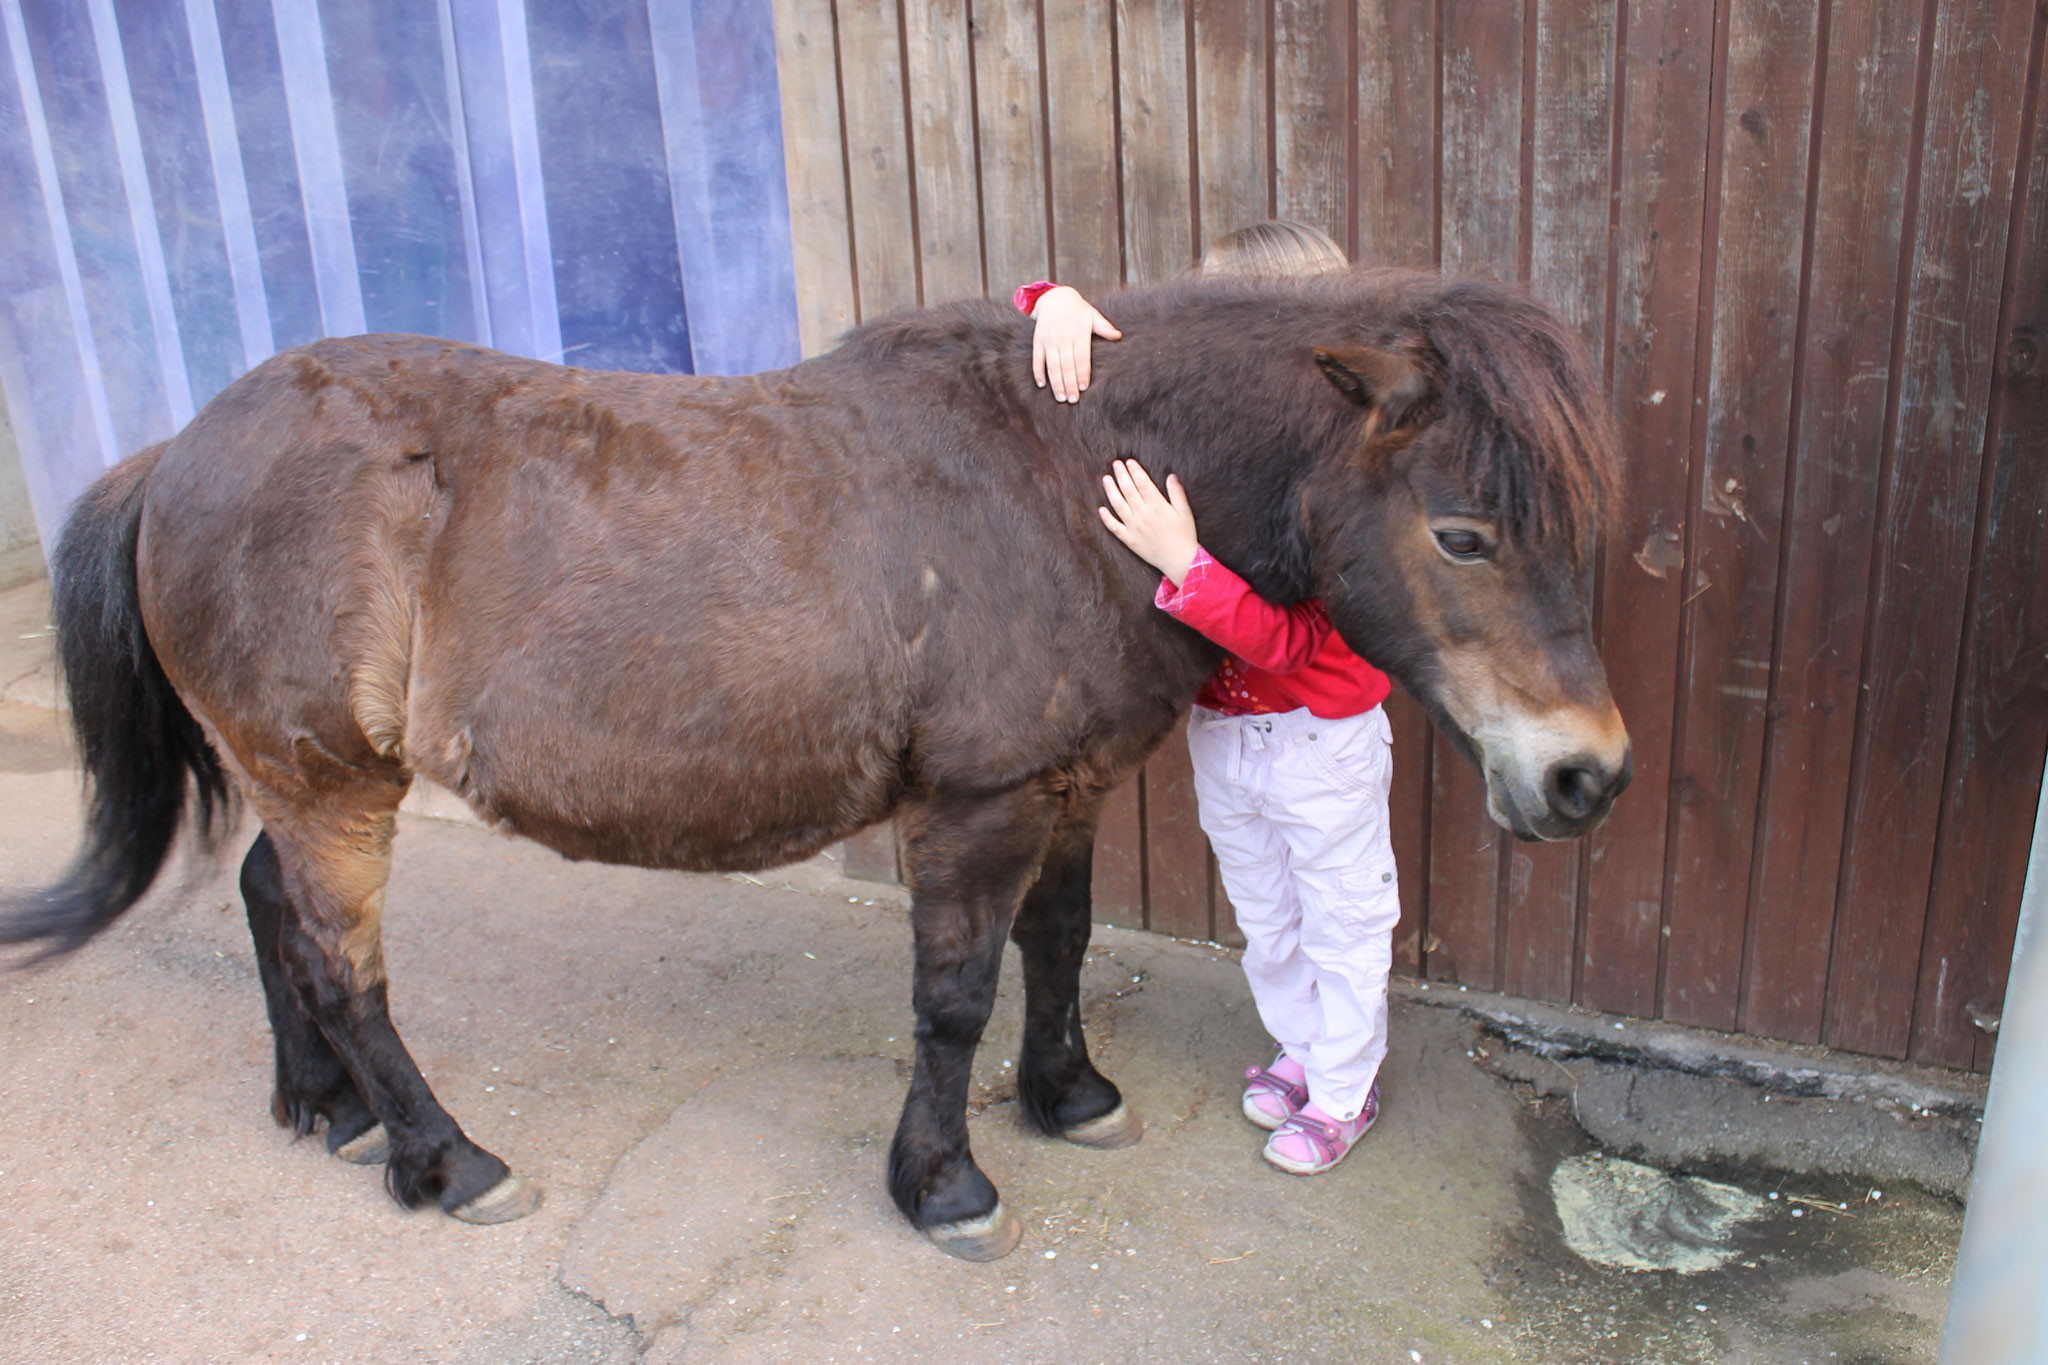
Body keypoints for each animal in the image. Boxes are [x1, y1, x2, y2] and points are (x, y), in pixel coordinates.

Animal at [0, 263, 1630, 1260]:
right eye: (1463, 533)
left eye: (1572, 525)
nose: (1587, 777)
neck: (1060, 478)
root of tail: (178, 451)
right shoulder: (972, 805)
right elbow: (954, 997)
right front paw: (945, 1183)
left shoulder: (1066, 786)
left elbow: (1058, 941)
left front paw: (1069, 1094)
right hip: (335, 783)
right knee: (344, 967)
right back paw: (447, 1160)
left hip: (306, 776)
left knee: (270, 906)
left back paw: (324, 1109)